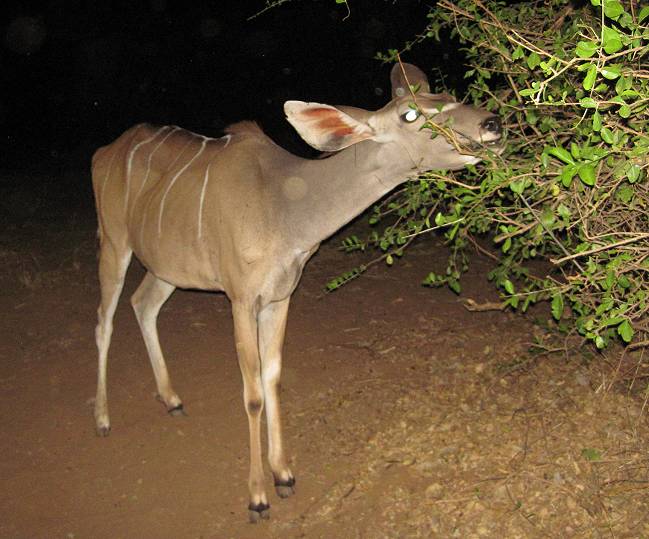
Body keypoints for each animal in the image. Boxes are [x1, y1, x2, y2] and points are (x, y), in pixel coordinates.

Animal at [91, 63, 504, 524]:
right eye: (410, 115)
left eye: (449, 97)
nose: (492, 124)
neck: (284, 209)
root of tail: (103, 153)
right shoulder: (240, 299)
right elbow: (253, 393)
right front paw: (257, 498)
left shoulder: (279, 297)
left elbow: (272, 378)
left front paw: (284, 475)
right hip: (115, 242)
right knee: (105, 320)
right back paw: (103, 419)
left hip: (167, 267)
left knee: (142, 305)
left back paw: (172, 400)